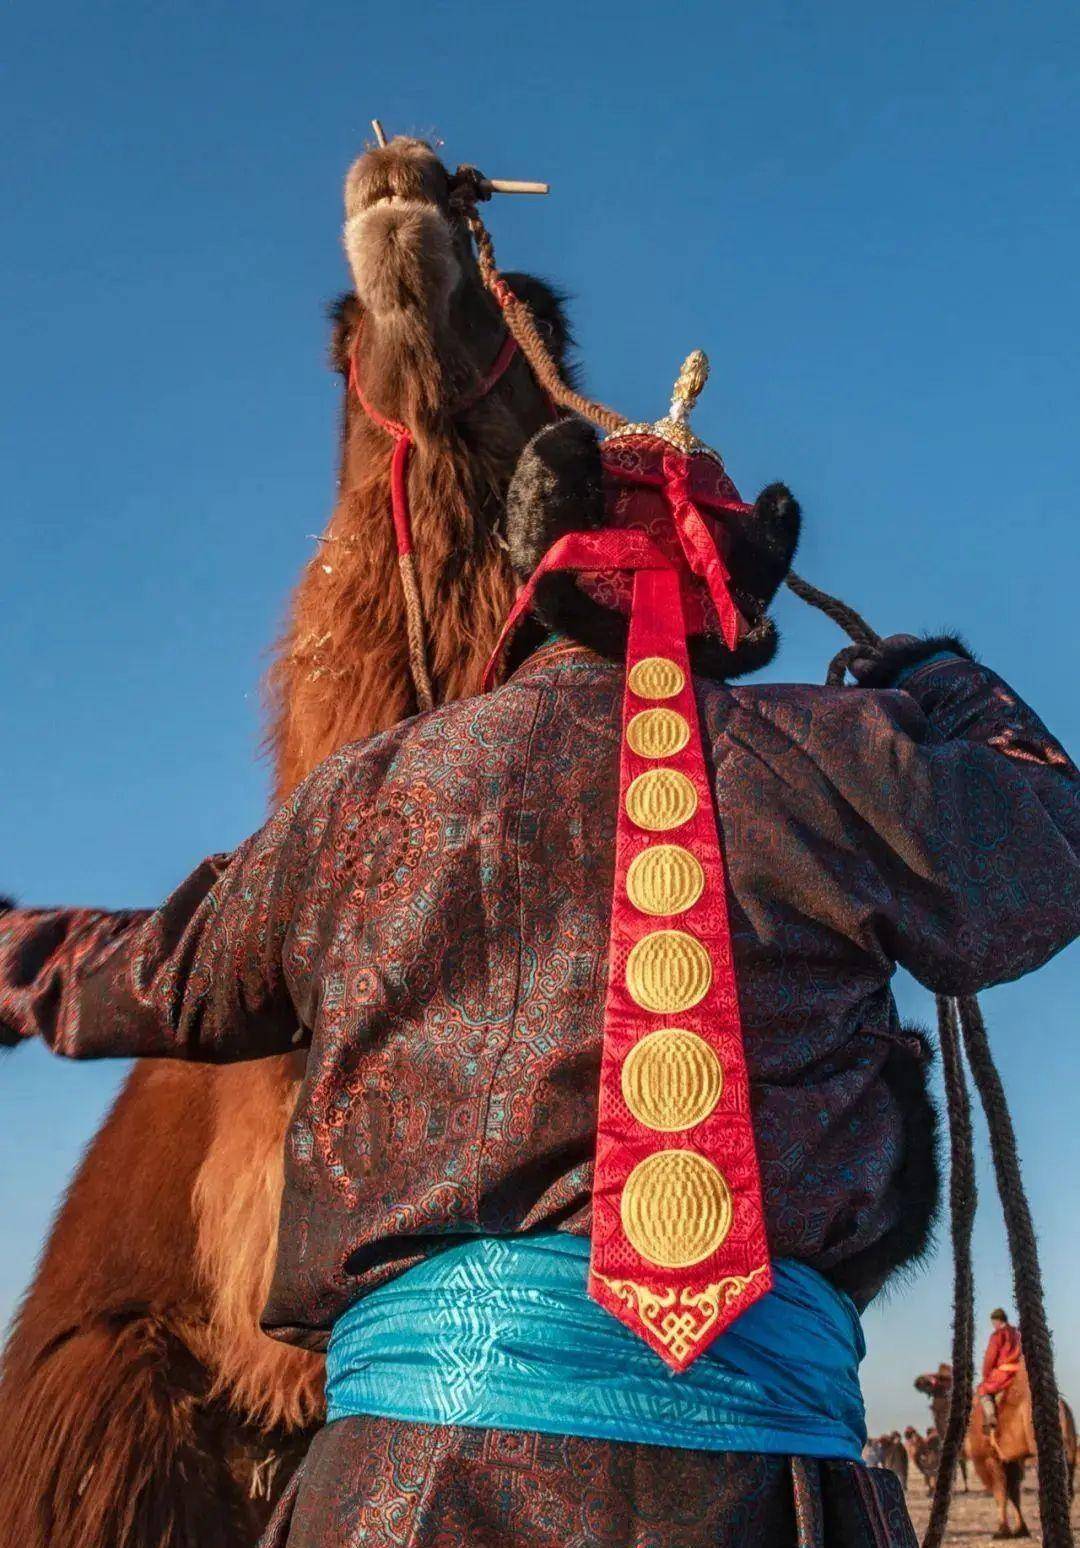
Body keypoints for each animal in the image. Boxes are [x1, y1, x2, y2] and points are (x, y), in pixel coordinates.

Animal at [965, 1368, 1070, 1535]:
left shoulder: (990, 1458)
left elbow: (1000, 1491)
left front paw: (1002, 1530)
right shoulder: (1011, 1459)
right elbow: (1014, 1490)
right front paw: (1021, 1528)